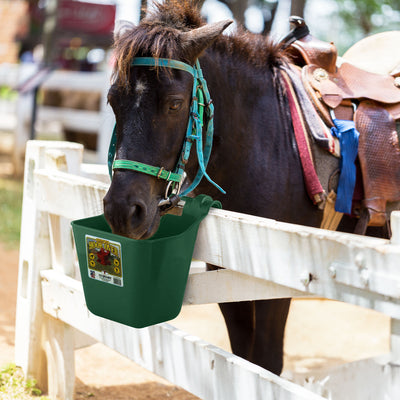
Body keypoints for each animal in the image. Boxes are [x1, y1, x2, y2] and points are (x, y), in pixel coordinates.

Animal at [103, 0, 366, 376]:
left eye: (175, 103)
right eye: (113, 101)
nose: (123, 210)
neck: (269, 139)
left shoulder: (276, 282)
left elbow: (266, 363)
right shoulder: (225, 274)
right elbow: (243, 356)